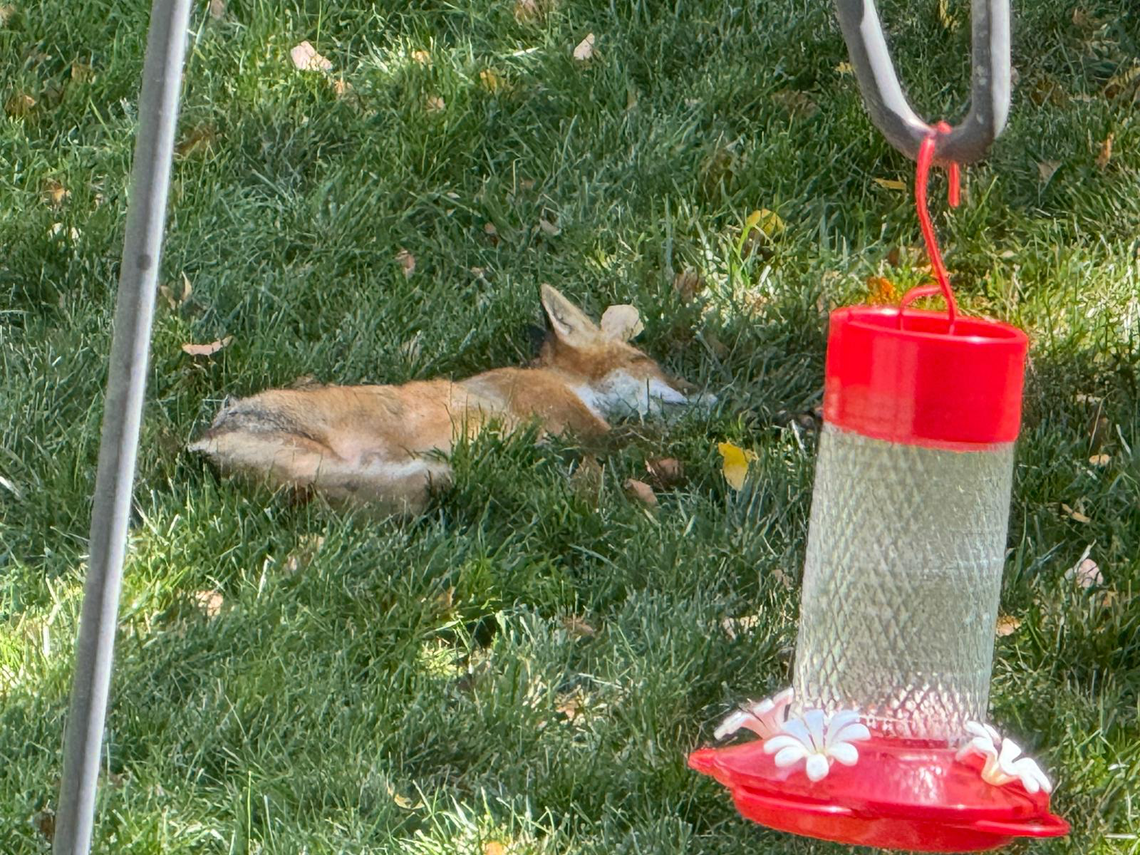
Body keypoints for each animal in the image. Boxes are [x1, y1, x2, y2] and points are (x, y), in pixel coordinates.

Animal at [188, 284, 713, 515]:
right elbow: (642, 436)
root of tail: (206, 440)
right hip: (317, 460)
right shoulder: (584, 433)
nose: (707, 394)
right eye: (645, 361)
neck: (563, 383)